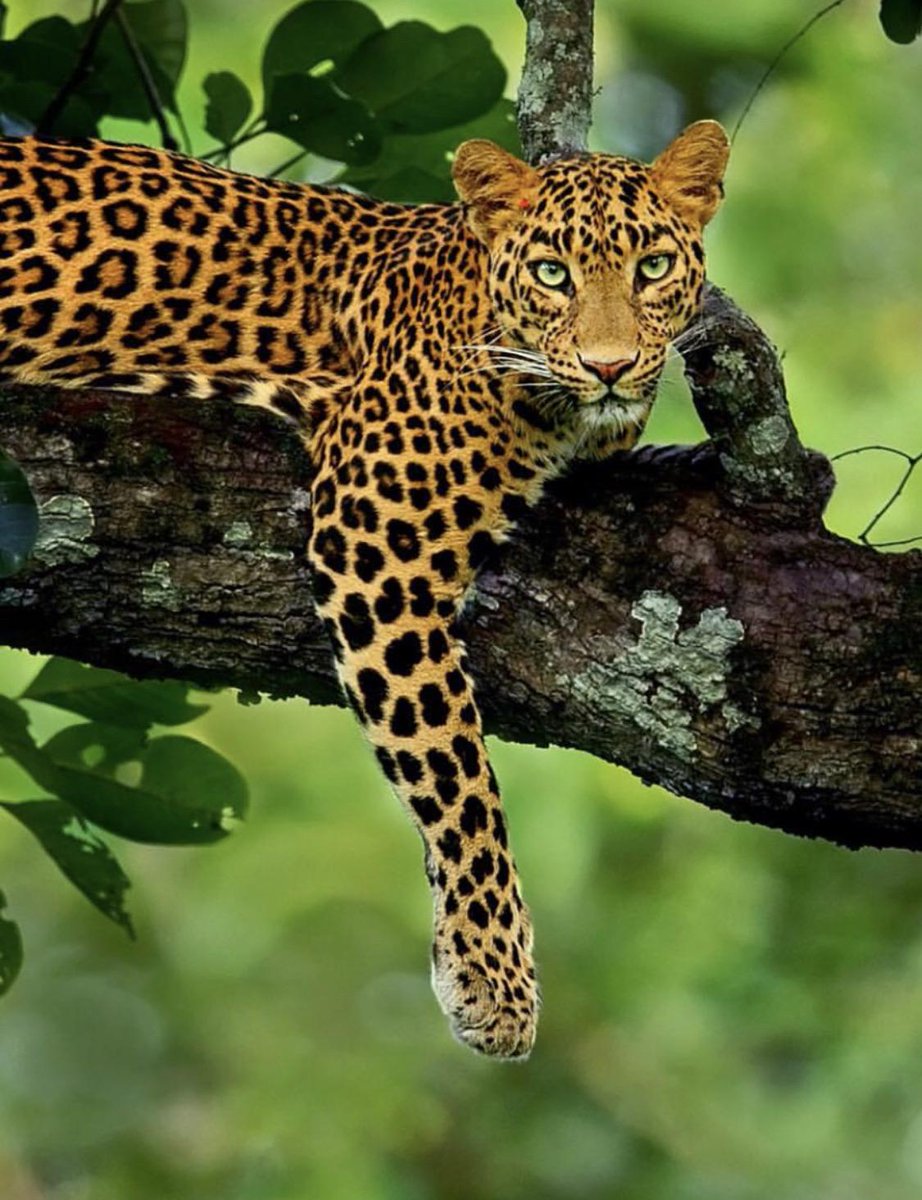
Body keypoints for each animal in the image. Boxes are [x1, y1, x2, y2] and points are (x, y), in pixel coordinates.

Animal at [0, 120, 729, 1058]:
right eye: (551, 273)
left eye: (652, 267)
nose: (611, 366)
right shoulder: (377, 536)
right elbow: (454, 769)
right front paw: (493, 976)